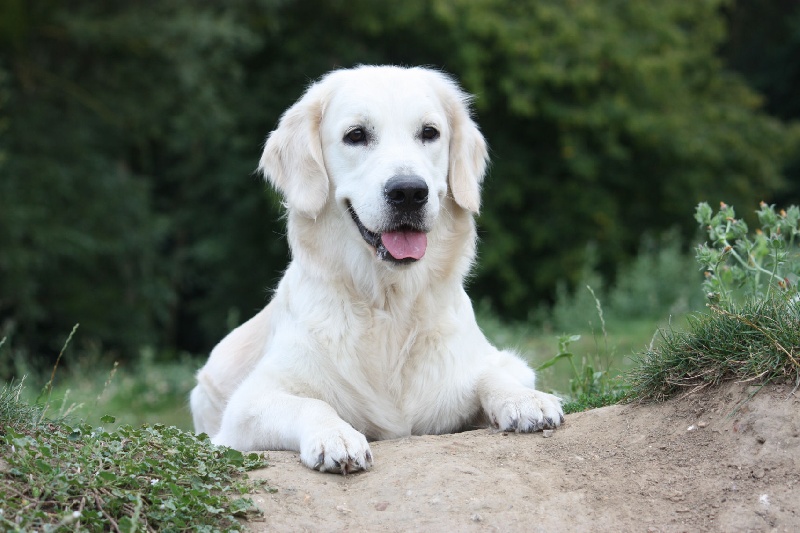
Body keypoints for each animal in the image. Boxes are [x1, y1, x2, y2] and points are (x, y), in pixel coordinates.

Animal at [189, 64, 564, 472]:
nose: (409, 192)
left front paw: (526, 401)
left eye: (429, 132)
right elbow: (311, 403)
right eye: (356, 135)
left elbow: (494, 374)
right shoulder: (246, 406)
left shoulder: (496, 361)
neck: (389, 307)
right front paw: (335, 437)